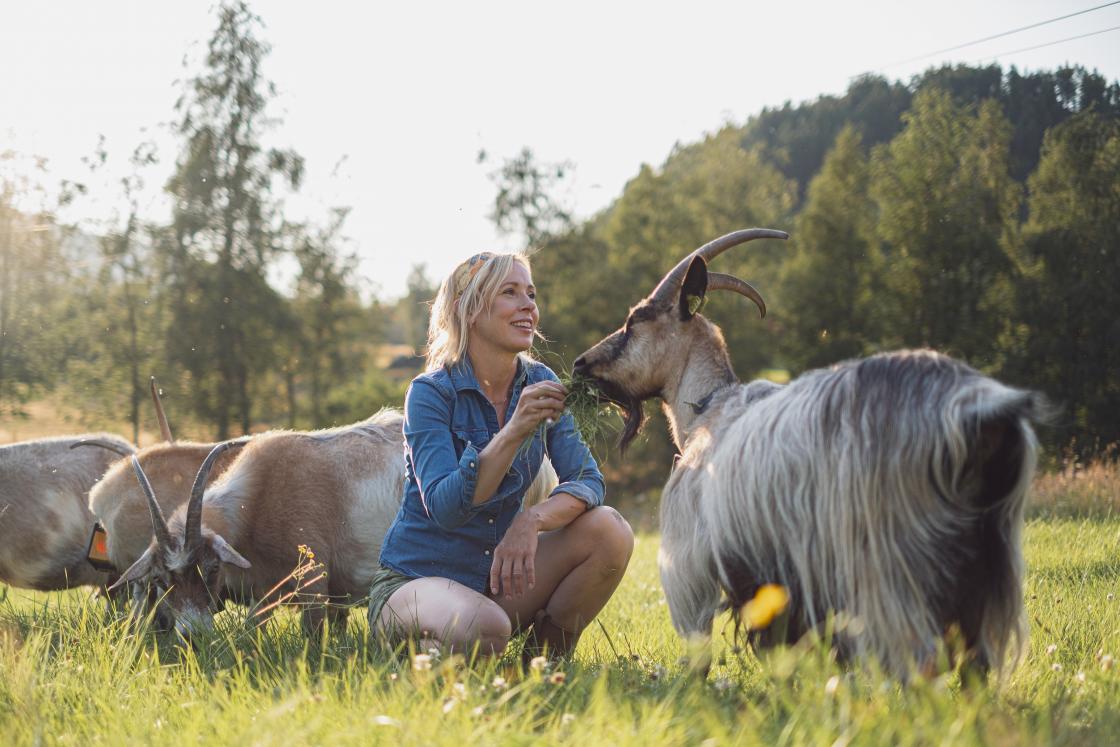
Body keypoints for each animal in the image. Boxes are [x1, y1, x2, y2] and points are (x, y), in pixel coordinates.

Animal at [573, 230, 1043, 680]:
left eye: (635, 320)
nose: (581, 364)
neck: (709, 409)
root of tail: (975, 412)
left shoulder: (689, 563)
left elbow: (698, 655)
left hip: (890, 567)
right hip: (987, 563)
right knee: (977, 659)